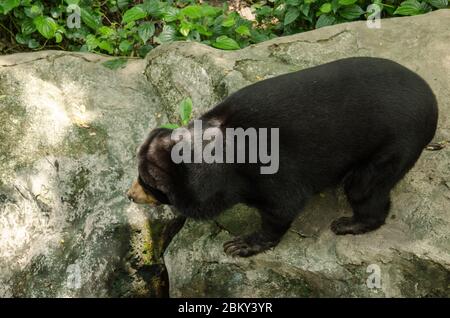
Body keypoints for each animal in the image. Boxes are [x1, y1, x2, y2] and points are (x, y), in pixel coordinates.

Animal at [128, 56, 438, 258]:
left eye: (146, 183)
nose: (130, 195)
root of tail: (432, 103)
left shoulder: (269, 171)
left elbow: (283, 206)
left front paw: (240, 245)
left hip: (395, 144)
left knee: (364, 187)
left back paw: (348, 223)